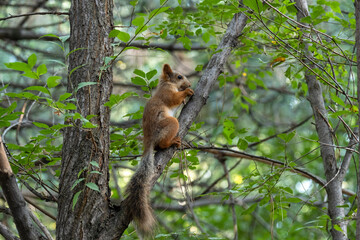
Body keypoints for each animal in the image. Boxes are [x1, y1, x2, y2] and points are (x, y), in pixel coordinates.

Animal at [122, 63, 194, 236]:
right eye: (179, 77)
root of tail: (148, 144)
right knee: (162, 143)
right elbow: (173, 99)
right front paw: (187, 93)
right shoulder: (166, 93)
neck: (167, 83)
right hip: (169, 124)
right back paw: (172, 141)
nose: (189, 84)